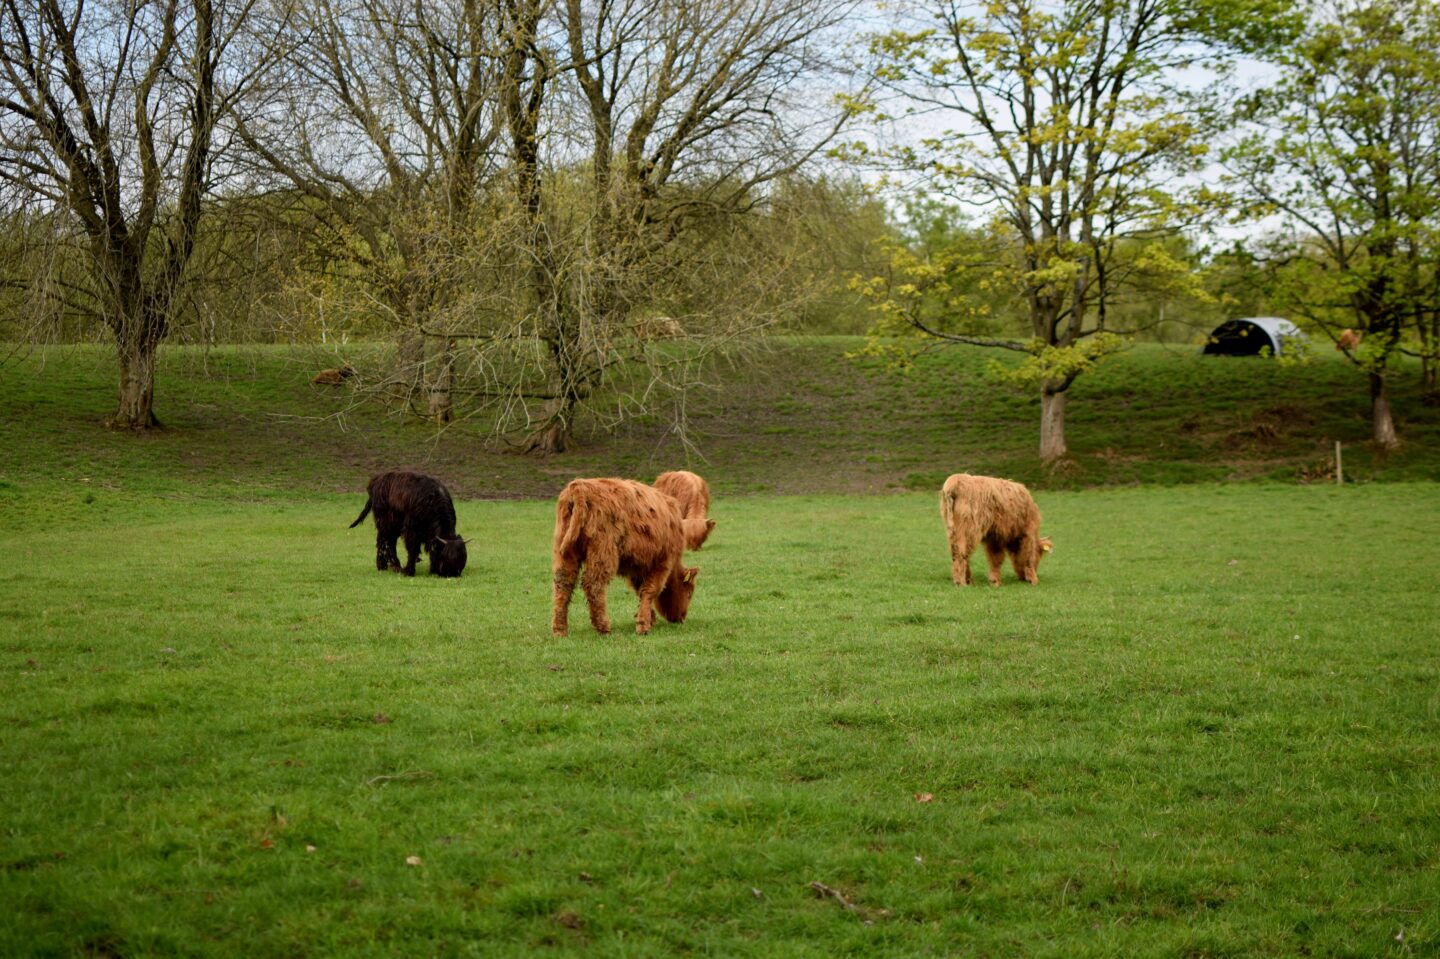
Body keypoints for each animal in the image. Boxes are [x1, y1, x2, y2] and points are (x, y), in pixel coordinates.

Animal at [551, 478, 699, 636]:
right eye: (689, 593)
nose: (681, 618)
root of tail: (579, 486)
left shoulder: (637, 567)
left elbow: (641, 591)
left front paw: (648, 618)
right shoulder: (663, 562)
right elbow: (651, 590)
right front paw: (643, 626)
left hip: (566, 551)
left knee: (563, 584)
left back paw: (560, 630)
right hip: (602, 551)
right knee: (593, 585)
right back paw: (603, 628)